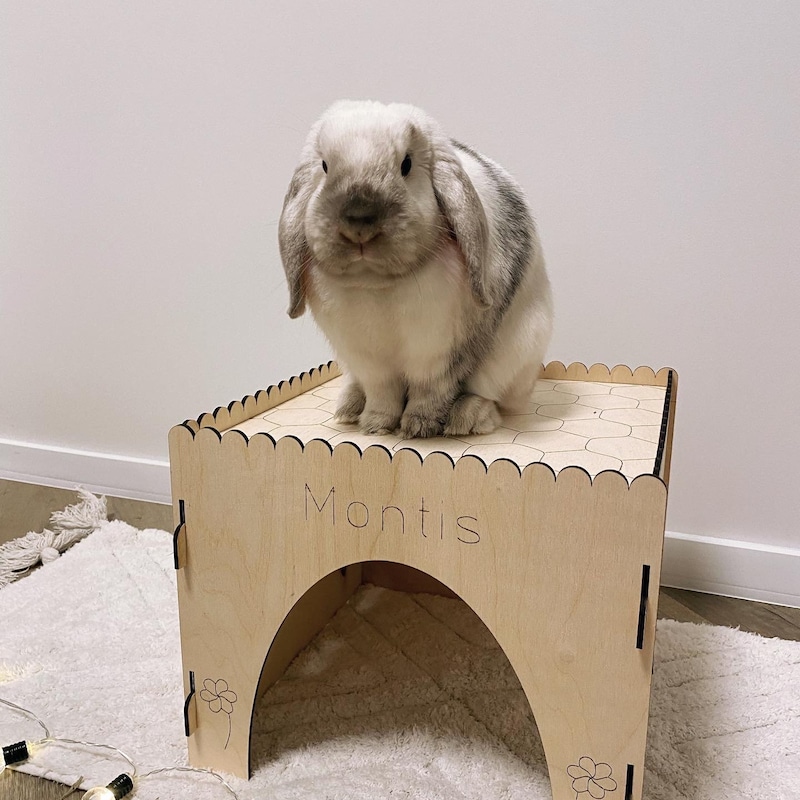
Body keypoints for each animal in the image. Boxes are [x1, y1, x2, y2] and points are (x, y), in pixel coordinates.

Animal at [279, 100, 553, 438]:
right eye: (325, 166)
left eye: (406, 164)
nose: (359, 222)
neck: (375, 285)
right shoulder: (369, 362)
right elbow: (382, 393)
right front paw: (376, 425)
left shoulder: (436, 356)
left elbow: (430, 392)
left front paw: (418, 427)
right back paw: (349, 408)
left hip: (515, 356)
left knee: (493, 398)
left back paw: (468, 418)